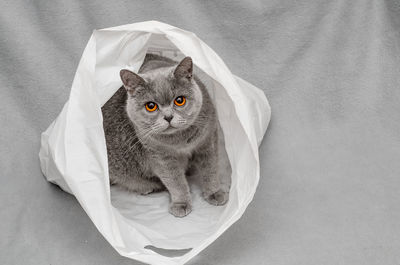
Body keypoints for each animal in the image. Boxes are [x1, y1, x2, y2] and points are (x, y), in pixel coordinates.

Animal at [101, 53, 228, 217]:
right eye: (150, 106)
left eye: (179, 100)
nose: (168, 117)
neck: (180, 141)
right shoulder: (159, 156)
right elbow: (175, 181)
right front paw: (181, 204)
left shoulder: (208, 139)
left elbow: (210, 168)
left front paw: (214, 193)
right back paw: (148, 187)